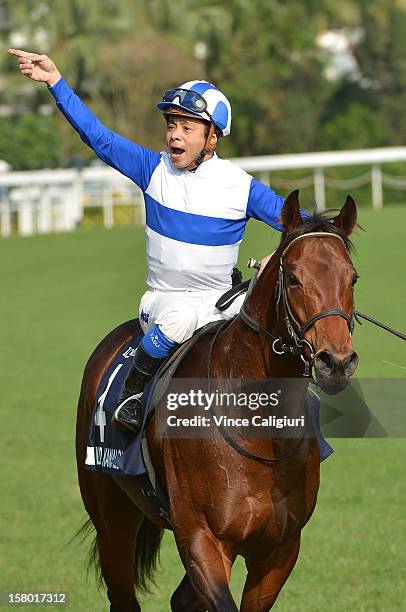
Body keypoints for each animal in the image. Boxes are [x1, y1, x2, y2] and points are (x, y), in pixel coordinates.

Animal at [75, 189, 358, 608]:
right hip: (112, 520)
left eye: (352, 277)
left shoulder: (279, 550)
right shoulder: (202, 540)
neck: (257, 430)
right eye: (293, 277)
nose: (335, 361)